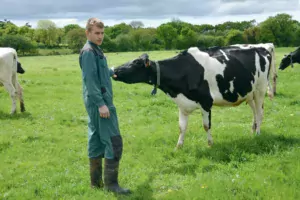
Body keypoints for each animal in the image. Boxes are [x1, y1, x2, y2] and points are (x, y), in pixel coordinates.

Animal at [112, 46, 274, 148]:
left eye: (136, 62)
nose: (114, 70)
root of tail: (261, 48)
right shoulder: (182, 105)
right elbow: (181, 127)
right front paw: (178, 146)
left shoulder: (206, 102)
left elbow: (206, 125)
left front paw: (210, 144)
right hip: (249, 94)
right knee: (255, 112)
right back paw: (252, 131)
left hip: (260, 90)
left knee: (260, 112)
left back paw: (258, 134)